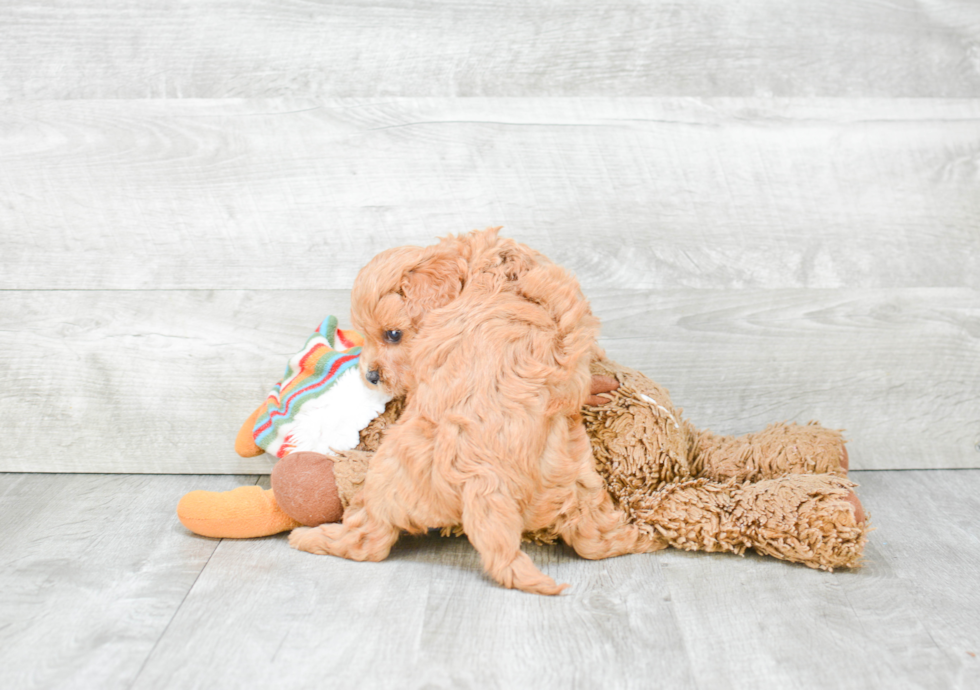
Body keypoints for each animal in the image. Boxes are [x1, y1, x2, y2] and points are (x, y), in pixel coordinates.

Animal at [288, 227, 664, 592]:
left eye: (393, 335)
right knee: (596, 541)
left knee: (368, 540)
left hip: (383, 480)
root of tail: (485, 481)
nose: (370, 376)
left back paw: (308, 537)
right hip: (579, 485)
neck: (488, 268)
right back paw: (642, 537)